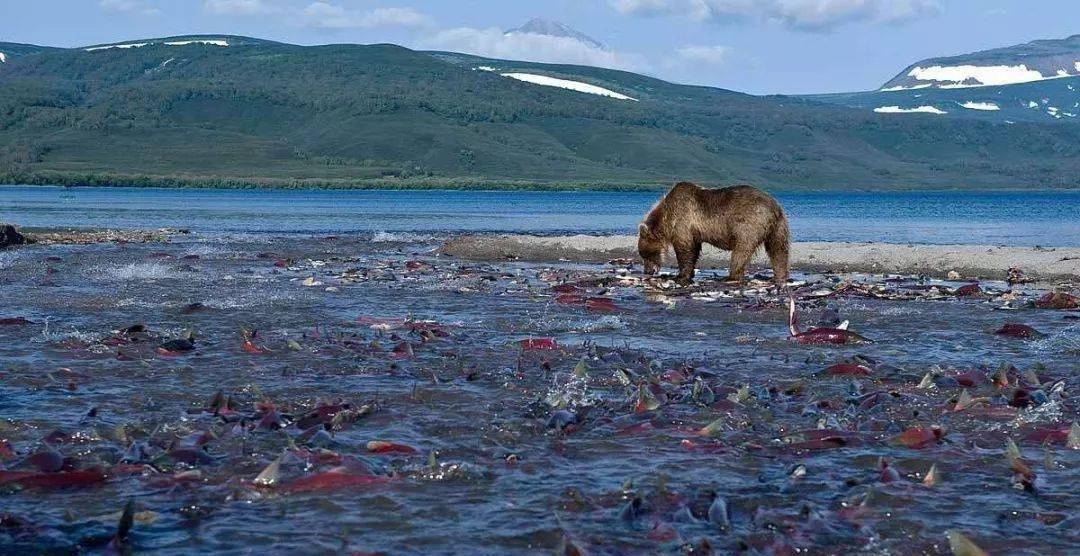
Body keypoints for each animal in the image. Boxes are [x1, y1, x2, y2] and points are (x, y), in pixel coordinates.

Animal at [635, 182, 790, 287]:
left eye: (646, 254)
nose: (647, 271)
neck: (666, 218)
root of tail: (774, 207)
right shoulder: (694, 231)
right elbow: (694, 249)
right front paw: (689, 273)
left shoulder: (682, 220)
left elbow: (685, 249)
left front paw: (680, 276)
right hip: (778, 227)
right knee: (778, 250)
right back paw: (780, 276)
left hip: (749, 224)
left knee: (741, 250)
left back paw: (730, 277)